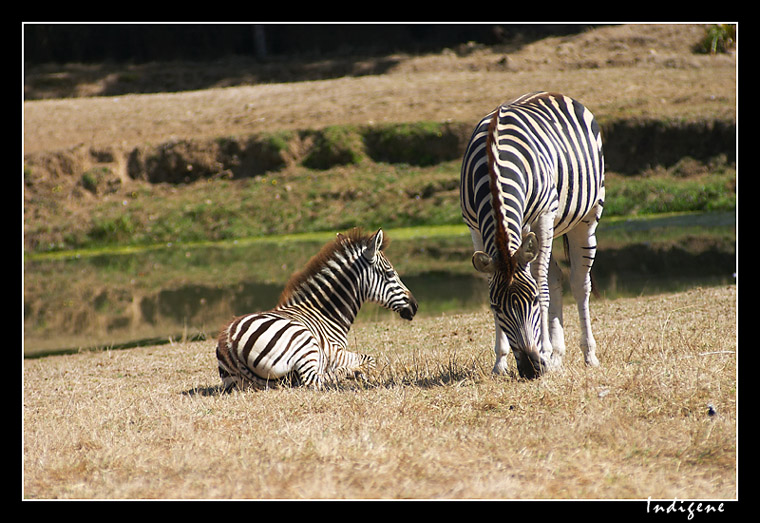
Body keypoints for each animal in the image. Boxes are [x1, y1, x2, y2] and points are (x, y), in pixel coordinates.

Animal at [214, 227, 418, 390]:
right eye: (390, 273)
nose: (415, 306)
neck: (325, 314)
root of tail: (230, 342)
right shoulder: (335, 353)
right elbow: (370, 359)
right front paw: (358, 372)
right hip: (303, 340)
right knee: (313, 380)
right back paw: (348, 374)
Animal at [458, 92, 604, 378]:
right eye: (495, 307)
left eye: (533, 300)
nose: (530, 369)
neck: (493, 166)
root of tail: (555, 93)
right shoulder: (474, 226)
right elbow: (493, 281)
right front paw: (500, 362)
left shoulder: (544, 216)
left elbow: (541, 283)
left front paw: (544, 352)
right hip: (535, 235)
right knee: (556, 277)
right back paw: (557, 356)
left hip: (587, 215)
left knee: (579, 284)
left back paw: (588, 355)